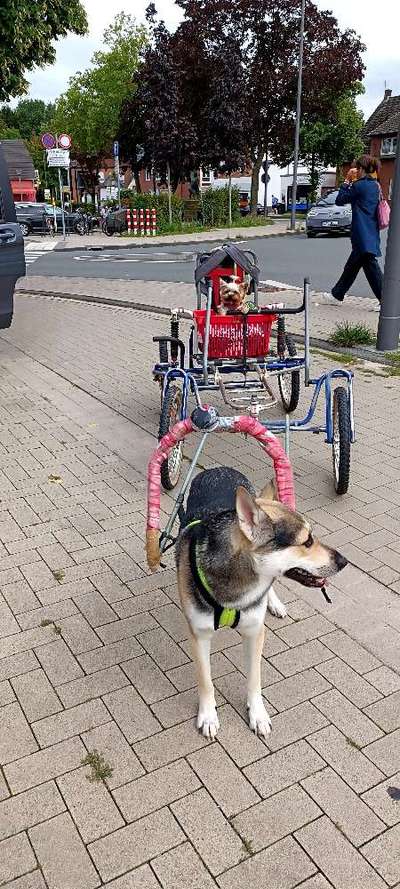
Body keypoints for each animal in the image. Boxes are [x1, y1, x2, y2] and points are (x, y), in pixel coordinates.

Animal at [177, 468, 348, 740]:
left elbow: (254, 679)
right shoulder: (199, 635)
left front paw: (257, 715)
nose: (344, 561)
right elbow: (205, 680)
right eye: (307, 541)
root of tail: (219, 468)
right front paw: (208, 716)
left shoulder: (255, 632)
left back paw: (274, 603)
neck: (238, 581)